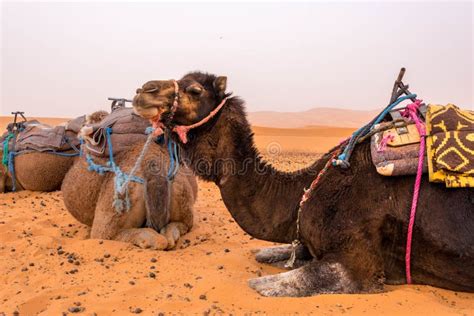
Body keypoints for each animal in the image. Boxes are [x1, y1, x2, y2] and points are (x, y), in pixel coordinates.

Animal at [131, 71, 474, 296]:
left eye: (194, 90)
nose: (144, 90)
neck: (304, 189)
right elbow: (268, 253)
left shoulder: (358, 262)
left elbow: (263, 284)